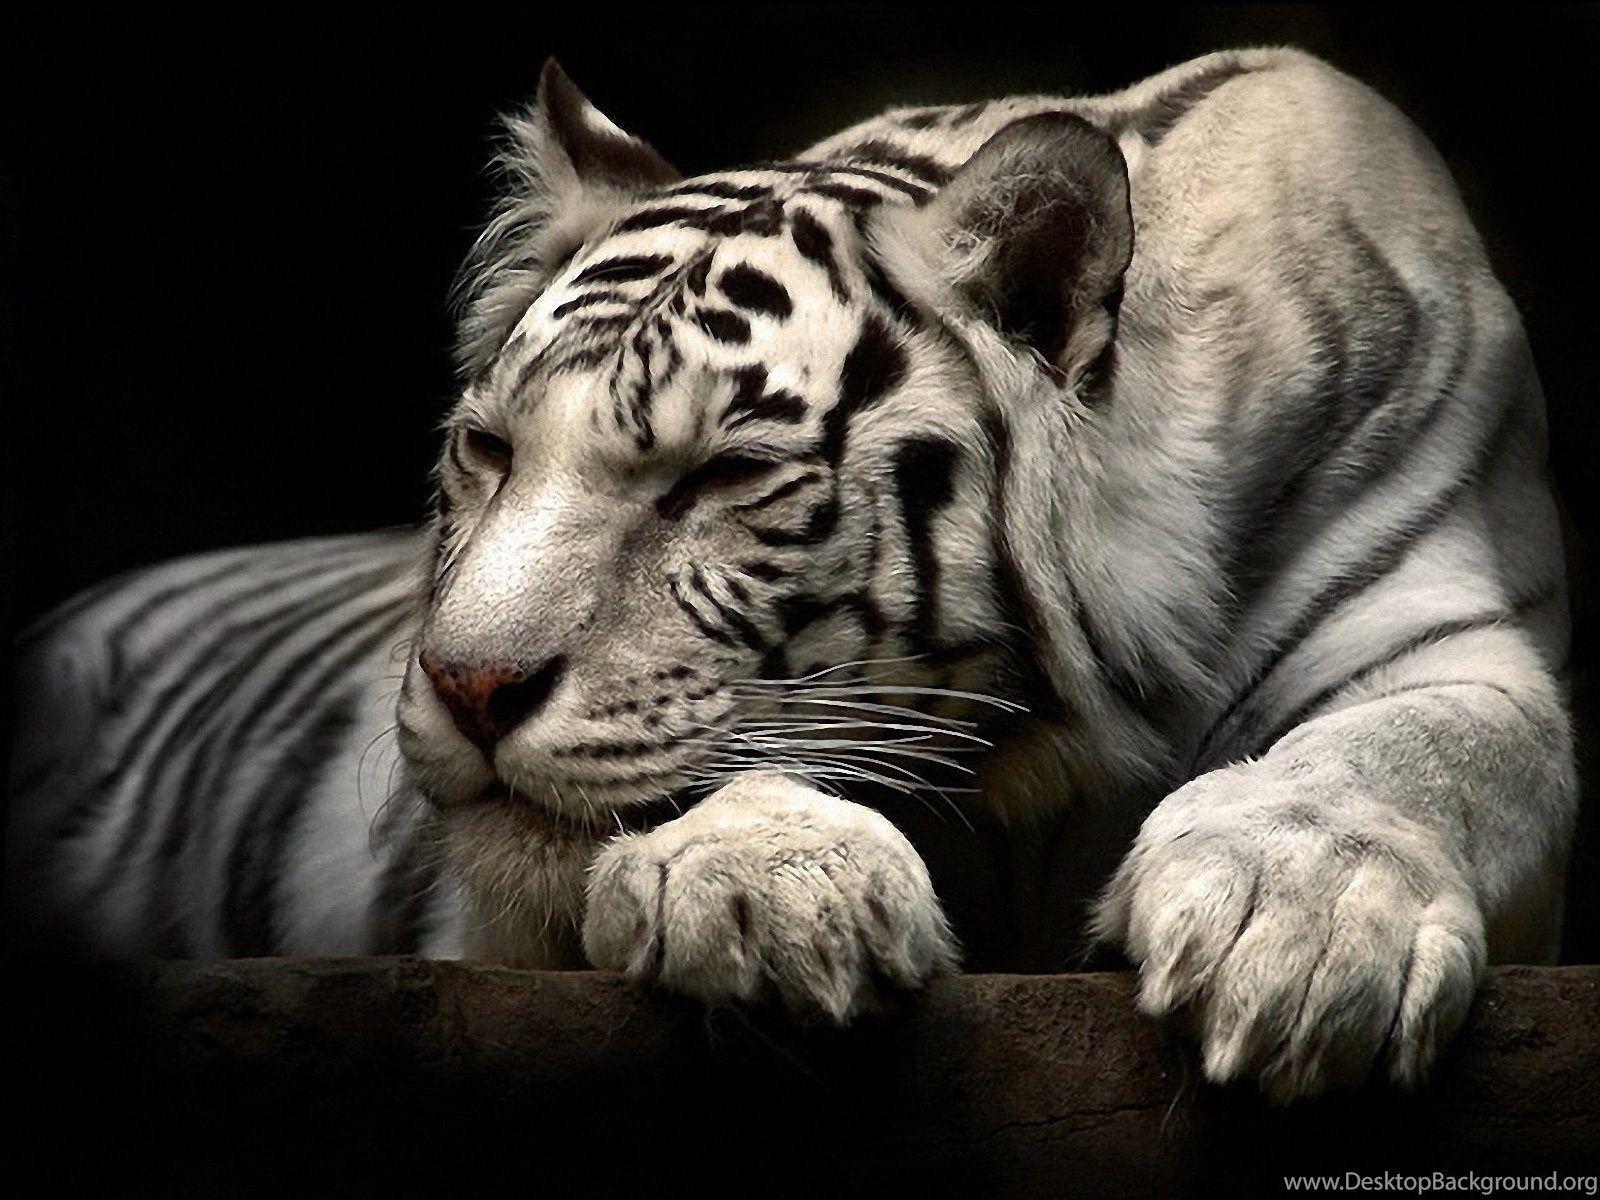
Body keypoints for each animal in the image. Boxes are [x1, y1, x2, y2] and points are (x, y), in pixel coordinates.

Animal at [7, 47, 1576, 1103]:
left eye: (715, 478)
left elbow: (1421, 750)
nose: (465, 686)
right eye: (490, 450)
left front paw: (1297, 931)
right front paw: (770, 886)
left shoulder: (1447, 622)